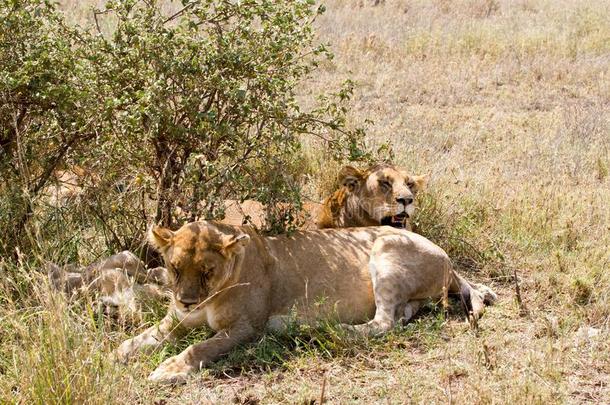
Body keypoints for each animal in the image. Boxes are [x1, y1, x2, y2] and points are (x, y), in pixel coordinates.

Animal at [115, 221, 494, 382]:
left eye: (207, 271)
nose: (187, 302)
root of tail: (448, 259)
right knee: (399, 317)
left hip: (385, 248)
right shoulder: (174, 322)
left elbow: (200, 348)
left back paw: (327, 330)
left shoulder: (246, 328)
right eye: (175, 268)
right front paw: (114, 356)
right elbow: (138, 340)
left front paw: (169, 370)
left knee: (384, 323)